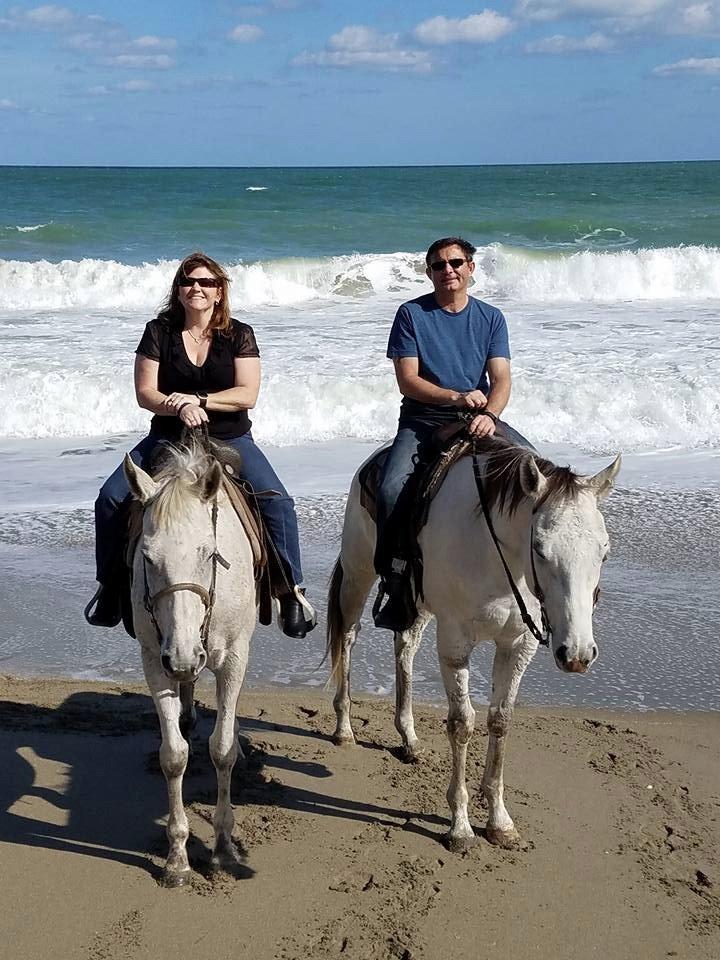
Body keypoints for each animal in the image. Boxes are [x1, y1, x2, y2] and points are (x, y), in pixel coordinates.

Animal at [124, 442, 256, 884]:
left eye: (208, 553)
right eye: (147, 558)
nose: (183, 657)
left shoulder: (234, 659)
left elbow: (223, 749)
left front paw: (223, 848)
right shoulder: (154, 661)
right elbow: (173, 756)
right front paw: (177, 857)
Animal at [330, 438, 620, 852]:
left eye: (604, 551)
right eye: (539, 547)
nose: (577, 654)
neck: (496, 553)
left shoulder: (517, 645)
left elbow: (500, 720)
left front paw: (499, 821)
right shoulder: (455, 641)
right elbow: (461, 723)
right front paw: (460, 826)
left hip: (417, 603)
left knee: (406, 645)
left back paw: (409, 738)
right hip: (358, 572)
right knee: (348, 635)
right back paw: (344, 728)